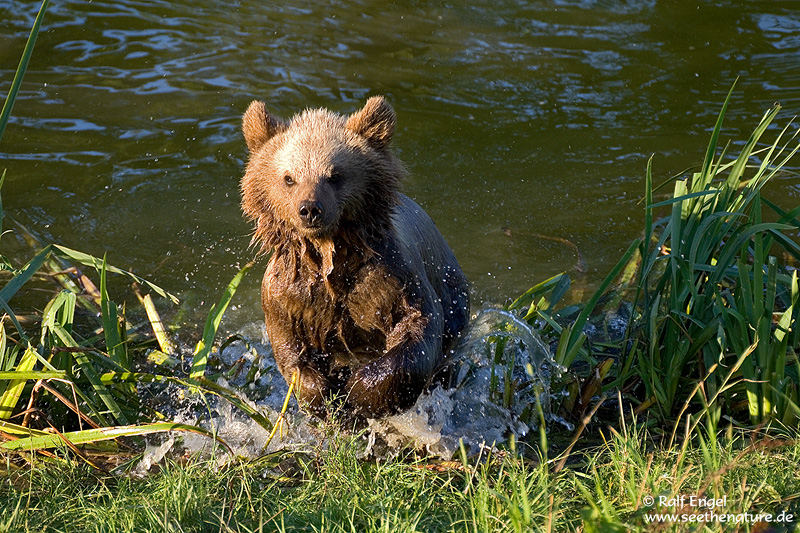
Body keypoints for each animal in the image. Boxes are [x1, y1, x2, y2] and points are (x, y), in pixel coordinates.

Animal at [241, 95, 472, 418]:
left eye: (334, 175)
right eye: (289, 178)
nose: (310, 209)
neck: (329, 255)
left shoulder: (390, 279)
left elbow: (416, 328)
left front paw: (361, 392)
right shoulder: (289, 294)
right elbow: (291, 350)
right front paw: (324, 396)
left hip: (453, 295)